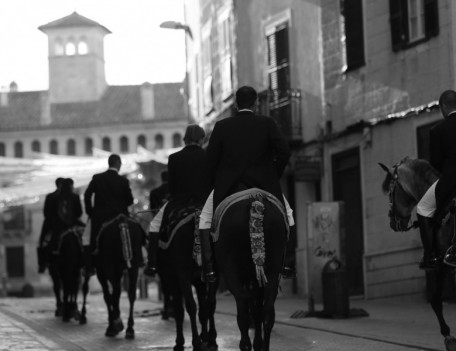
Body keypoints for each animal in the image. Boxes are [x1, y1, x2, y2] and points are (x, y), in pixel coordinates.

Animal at [159, 206, 217, 351]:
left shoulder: (173, 278)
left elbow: (181, 309)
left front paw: (181, 341)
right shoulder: (199, 281)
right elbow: (204, 307)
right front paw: (205, 336)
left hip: (182, 277)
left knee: (191, 306)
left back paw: (197, 341)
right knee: (209, 303)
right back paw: (210, 338)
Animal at [209, 190, 286, 351]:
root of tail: (254, 198)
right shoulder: (258, 279)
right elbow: (257, 310)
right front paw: (258, 343)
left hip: (232, 272)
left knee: (242, 308)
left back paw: (244, 344)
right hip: (272, 272)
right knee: (267, 312)